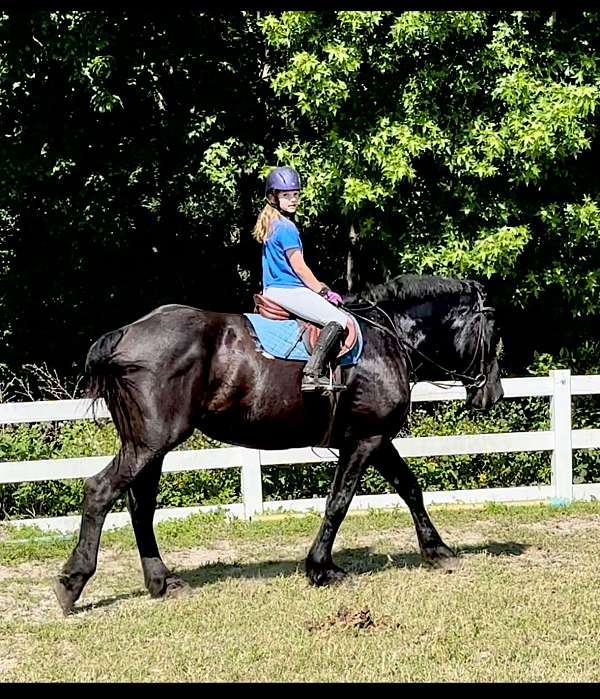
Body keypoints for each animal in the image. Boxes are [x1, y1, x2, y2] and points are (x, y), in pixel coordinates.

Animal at [53, 274, 503, 614]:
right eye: (493, 334)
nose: (493, 395)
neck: (386, 339)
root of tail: (125, 334)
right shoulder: (366, 439)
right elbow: (339, 502)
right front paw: (321, 569)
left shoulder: (376, 439)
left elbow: (410, 489)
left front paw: (438, 550)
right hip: (150, 442)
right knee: (100, 491)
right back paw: (72, 583)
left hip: (151, 447)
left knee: (140, 506)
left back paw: (161, 581)